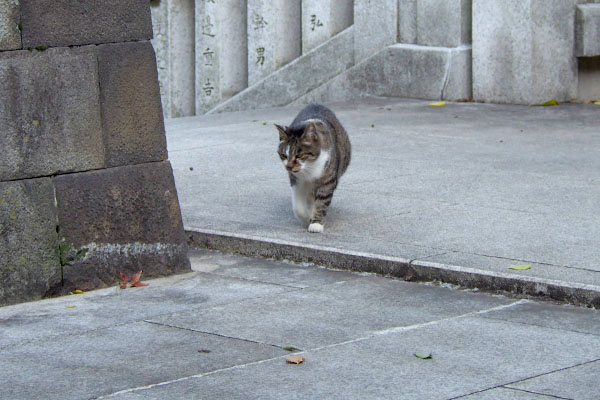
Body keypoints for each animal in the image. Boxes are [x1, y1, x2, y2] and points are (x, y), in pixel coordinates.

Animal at [274, 104, 350, 234]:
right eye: (284, 155)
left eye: (299, 155)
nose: (288, 166)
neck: (308, 168)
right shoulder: (297, 180)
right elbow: (298, 206)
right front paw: (306, 217)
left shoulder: (327, 179)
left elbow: (321, 202)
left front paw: (316, 224)